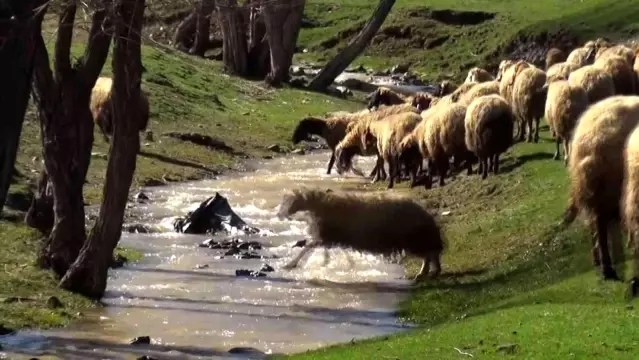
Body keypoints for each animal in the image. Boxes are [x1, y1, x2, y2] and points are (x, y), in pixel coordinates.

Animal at [278, 187, 448, 280]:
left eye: (290, 200)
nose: (280, 215)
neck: (320, 205)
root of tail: (425, 212)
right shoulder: (332, 236)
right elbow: (318, 249)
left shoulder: (325, 235)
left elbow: (307, 247)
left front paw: (290, 264)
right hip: (417, 238)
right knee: (430, 254)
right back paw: (429, 272)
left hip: (415, 238)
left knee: (430, 253)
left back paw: (428, 272)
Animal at [564, 95, 639, 282]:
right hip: (608, 190)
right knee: (600, 225)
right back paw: (607, 268)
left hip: (595, 190)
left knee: (594, 225)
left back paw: (598, 262)